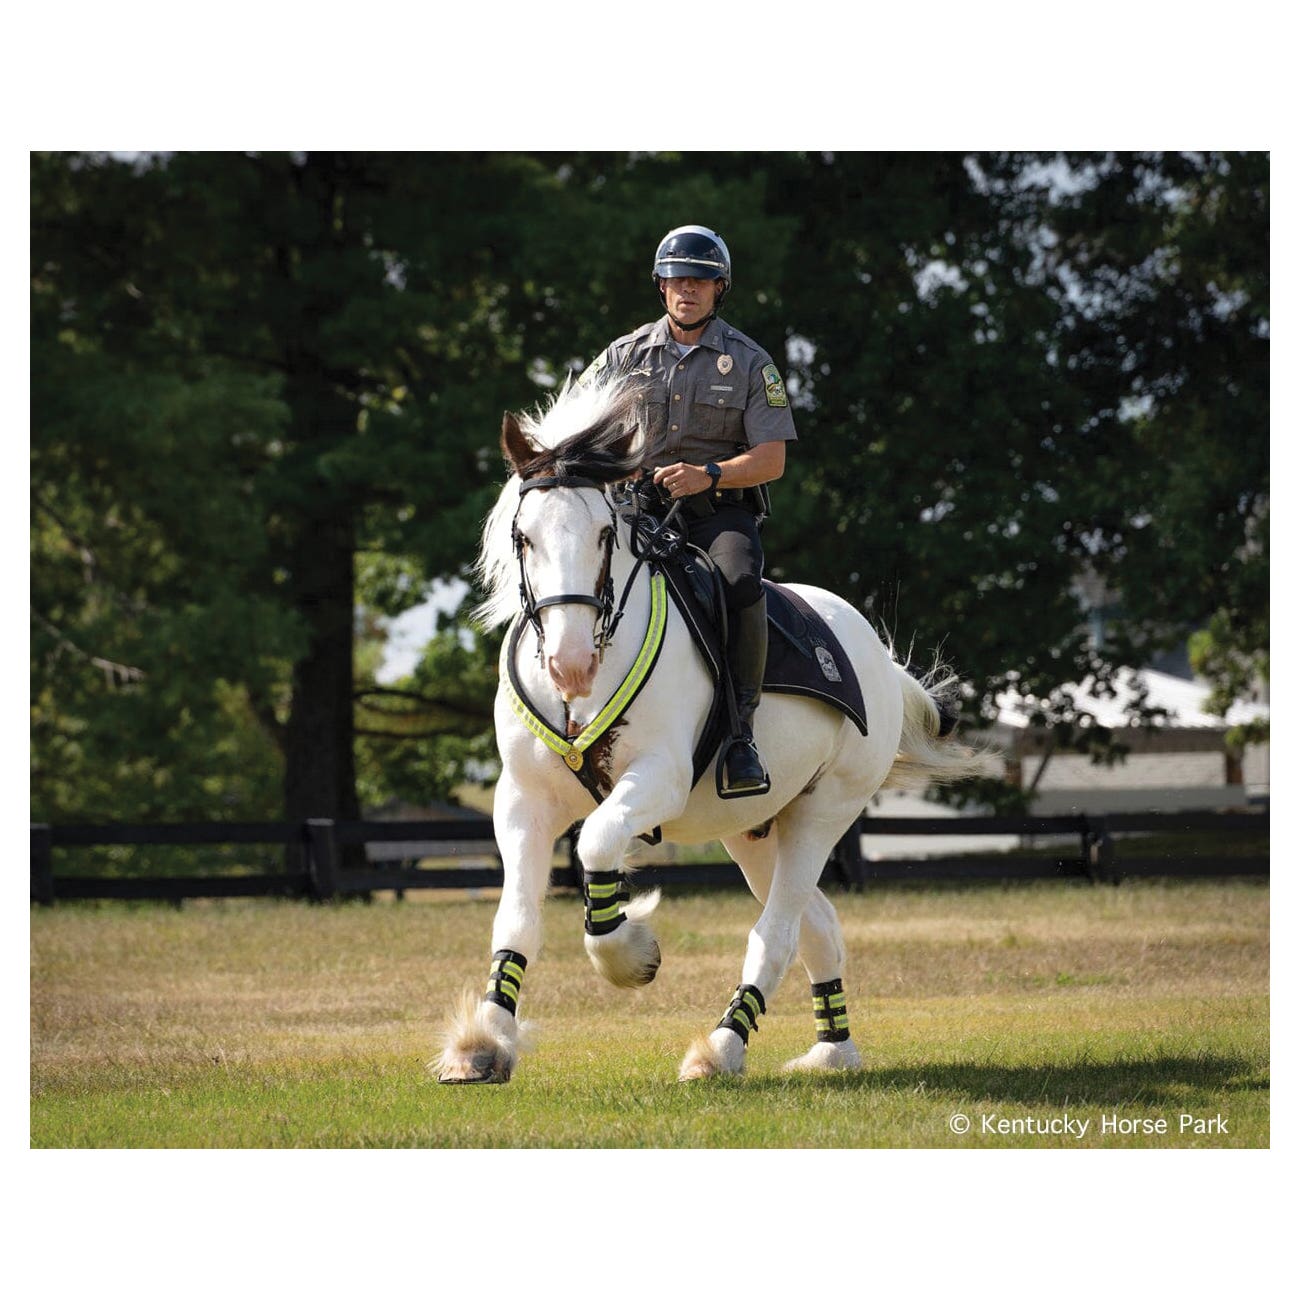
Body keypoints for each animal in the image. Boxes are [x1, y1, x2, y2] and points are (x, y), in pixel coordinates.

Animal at [434, 374, 986, 1083]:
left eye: (604, 534)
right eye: (523, 536)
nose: (570, 663)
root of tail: (877, 659)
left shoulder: (659, 780)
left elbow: (597, 846)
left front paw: (631, 954)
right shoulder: (523, 800)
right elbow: (518, 920)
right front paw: (482, 1045)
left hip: (824, 811)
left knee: (777, 934)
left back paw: (722, 1048)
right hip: (756, 831)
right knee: (819, 926)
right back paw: (832, 1051)